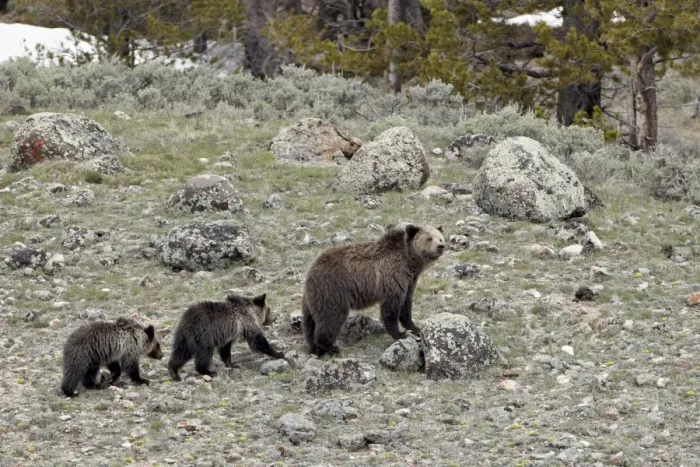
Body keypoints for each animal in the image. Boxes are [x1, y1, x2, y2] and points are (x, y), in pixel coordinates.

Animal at [301, 222, 445, 356]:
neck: (410, 262)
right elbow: (391, 309)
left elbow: (406, 305)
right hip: (332, 290)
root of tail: (312, 269)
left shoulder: (409, 281)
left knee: (310, 323)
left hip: (311, 299)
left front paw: (415, 328)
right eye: (429, 238)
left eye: (440, 238)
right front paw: (400, 333)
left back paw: (315, 348)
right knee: (331, 317)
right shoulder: (392, 277)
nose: (440, 246)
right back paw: (331, 347)